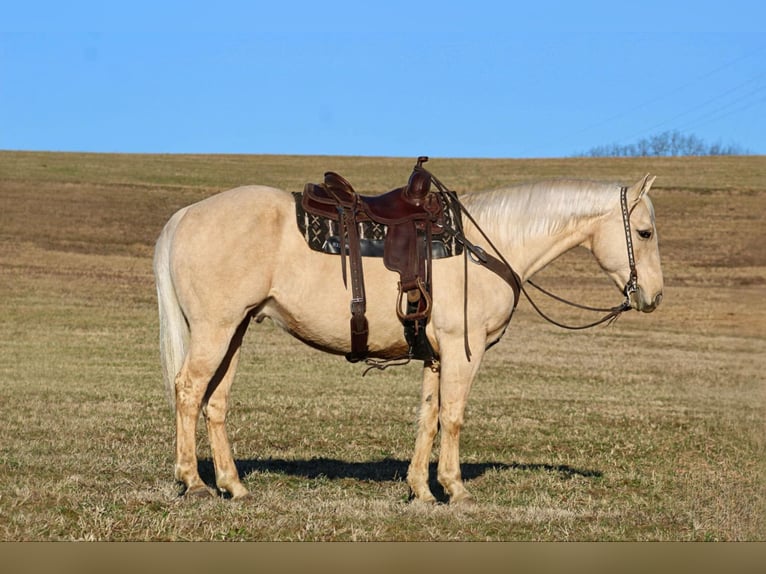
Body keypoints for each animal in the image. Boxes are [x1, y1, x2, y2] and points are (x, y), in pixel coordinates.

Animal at [153, 171, 664, 504]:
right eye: (644, 232)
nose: (653, 296)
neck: (486, 246)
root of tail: (184, 216)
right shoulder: (463, 350)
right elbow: (453, 418)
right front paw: (455, 489)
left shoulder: (436, 356)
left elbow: (429, 417)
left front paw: (421, 489)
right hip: (216, 330)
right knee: (189, 391)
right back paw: (194, 483)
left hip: (234, 331)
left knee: (215, 402)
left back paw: (233, 485)